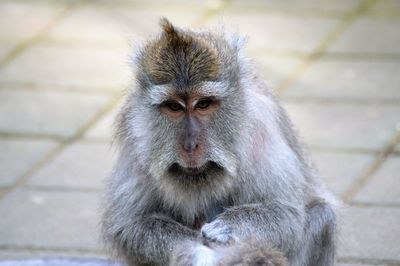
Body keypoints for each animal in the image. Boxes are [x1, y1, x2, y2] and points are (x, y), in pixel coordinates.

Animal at [101, 18, 338, 266]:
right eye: (174, 106)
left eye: (203, 104)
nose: (190, 146)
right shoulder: (134, 137)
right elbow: (131, 226)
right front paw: (197, 252)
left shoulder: (261, 127)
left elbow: (286, 215)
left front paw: (227, 228)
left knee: (323, 214)